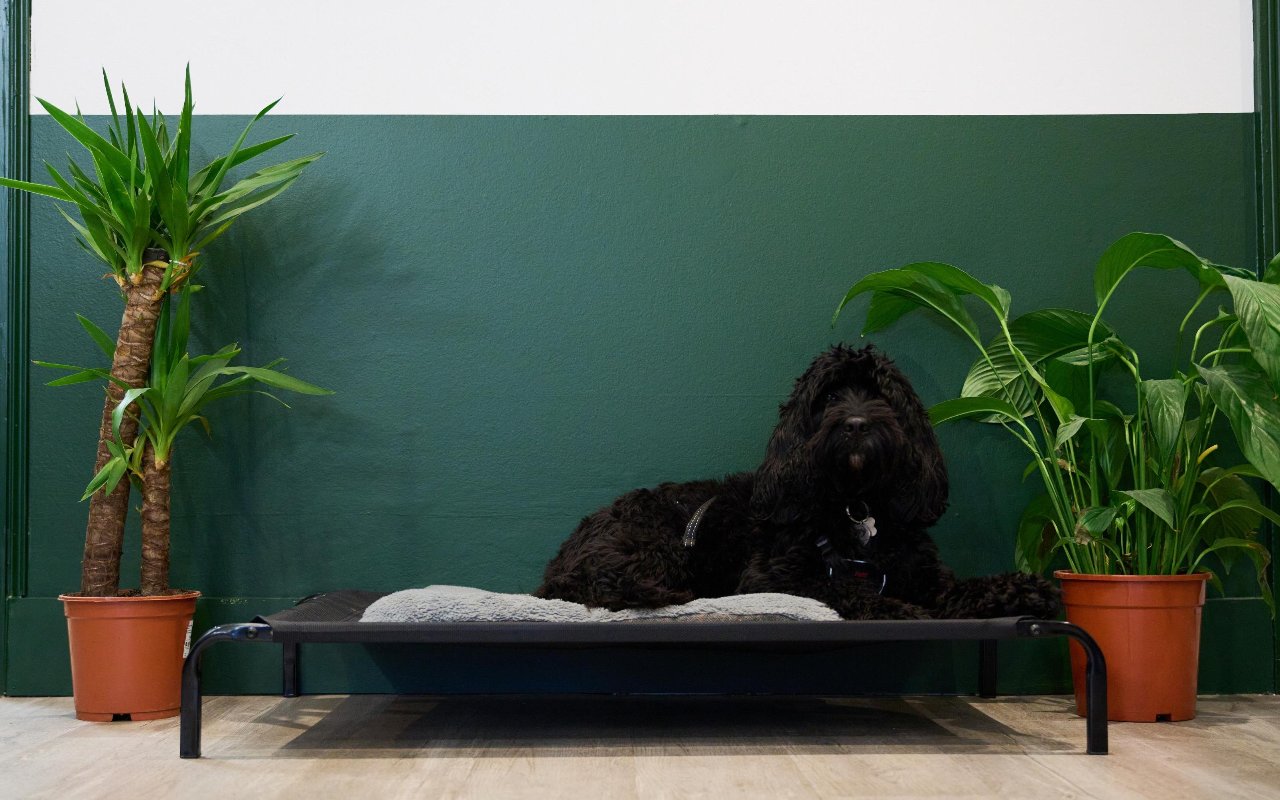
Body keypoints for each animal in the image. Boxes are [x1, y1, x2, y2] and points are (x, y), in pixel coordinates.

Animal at [535, 344, 1060, 620]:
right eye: (828, 398)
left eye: (881, 395)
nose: (855, 423)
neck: (854, 504)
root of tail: (558, 565)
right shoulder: (772, 578)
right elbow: (836, 588)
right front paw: (897, 609)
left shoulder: (927, 576)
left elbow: (968, 587)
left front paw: (1026, 588)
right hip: (659, 548)